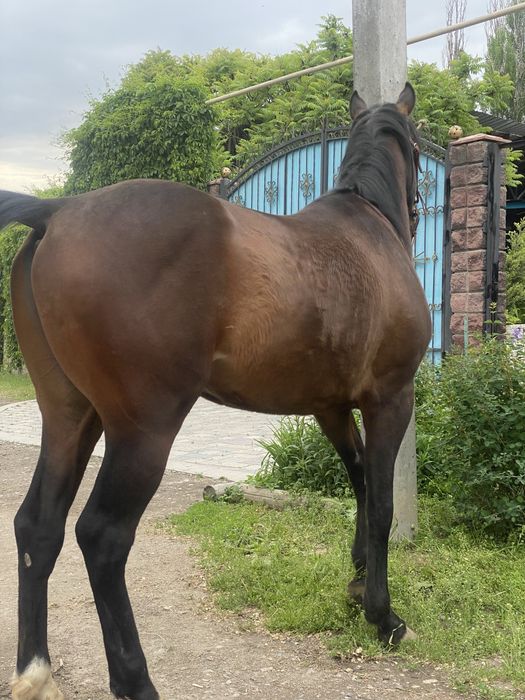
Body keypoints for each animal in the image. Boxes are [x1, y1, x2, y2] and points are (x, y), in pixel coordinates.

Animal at [0, 82, 430, 700]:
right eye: (418, 147)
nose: (419, 208)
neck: (366, 229)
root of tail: (58, 210)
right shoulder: (391, 398)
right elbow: (381, 504)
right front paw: (383, 616)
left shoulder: (331, 409)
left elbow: (361, 485)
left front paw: (355, 588)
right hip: (144, 432)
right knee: (102, 537)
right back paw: (135, 680)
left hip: (69, 417)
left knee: (38, 525)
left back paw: (35, 672)